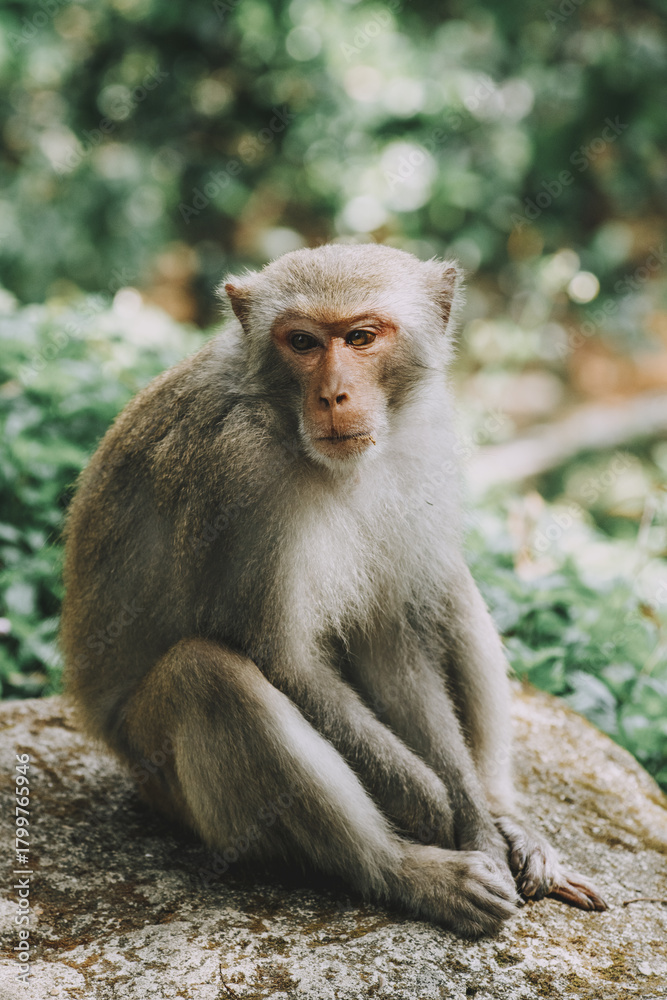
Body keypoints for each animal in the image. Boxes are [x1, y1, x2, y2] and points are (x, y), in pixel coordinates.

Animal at [61, 242, 607, 938]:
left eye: (361, 338)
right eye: (301, 341)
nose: (332, 394)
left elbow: (392, 642)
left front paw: (477, 818)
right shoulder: (236, 474)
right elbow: (280, 659)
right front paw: (436, 812)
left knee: (444, 579)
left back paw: (505, 816)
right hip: (160, 779)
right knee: (208, 676)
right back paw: (408, 872)